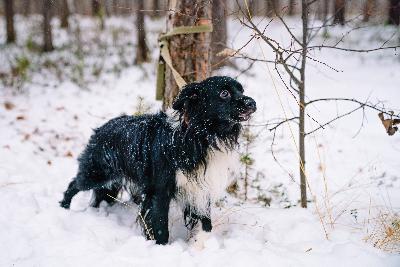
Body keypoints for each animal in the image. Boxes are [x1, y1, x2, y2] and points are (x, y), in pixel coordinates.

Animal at [61, 76, 258, 246]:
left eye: (241, 90)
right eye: (224, 93)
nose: (252, 103)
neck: (198, 136)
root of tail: (103, 127)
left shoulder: (201, 187)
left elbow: (205, 222)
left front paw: (201, 246)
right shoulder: (160, 190)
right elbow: (161, 226)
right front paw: (162, 248)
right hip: (96, 173)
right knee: (73, 184)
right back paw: (64, 207)